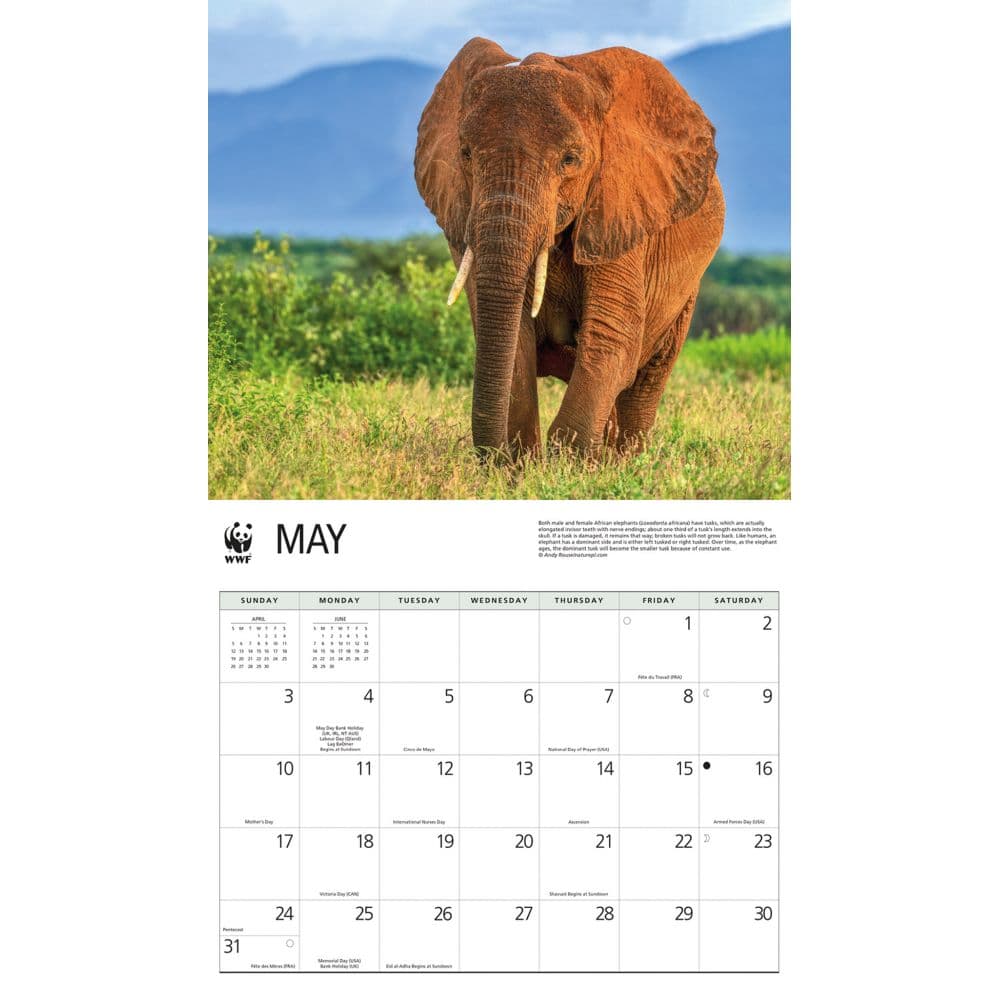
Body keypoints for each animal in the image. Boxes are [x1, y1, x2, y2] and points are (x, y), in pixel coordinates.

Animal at [414, 37, 725, 460]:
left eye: (570, 159)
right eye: (465, 153)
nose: (494, 456)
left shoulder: (620, 211)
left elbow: (611, 336)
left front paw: (568, 464)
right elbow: (514, 340)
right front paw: (522, 464)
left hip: (685, 292)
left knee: (646, 380)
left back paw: (625, 463)